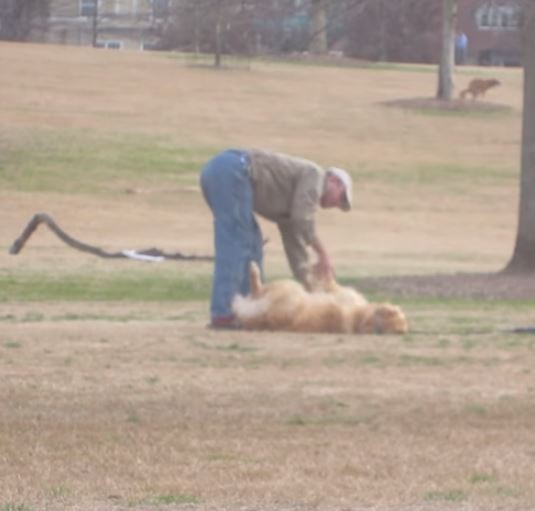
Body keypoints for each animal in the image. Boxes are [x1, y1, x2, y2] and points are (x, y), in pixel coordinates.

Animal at [232, 264, 408, 336]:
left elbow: (329, 283)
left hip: (286, 288)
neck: (362, 319)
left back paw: (253, 270)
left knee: (257, 289)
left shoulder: (340, 293)